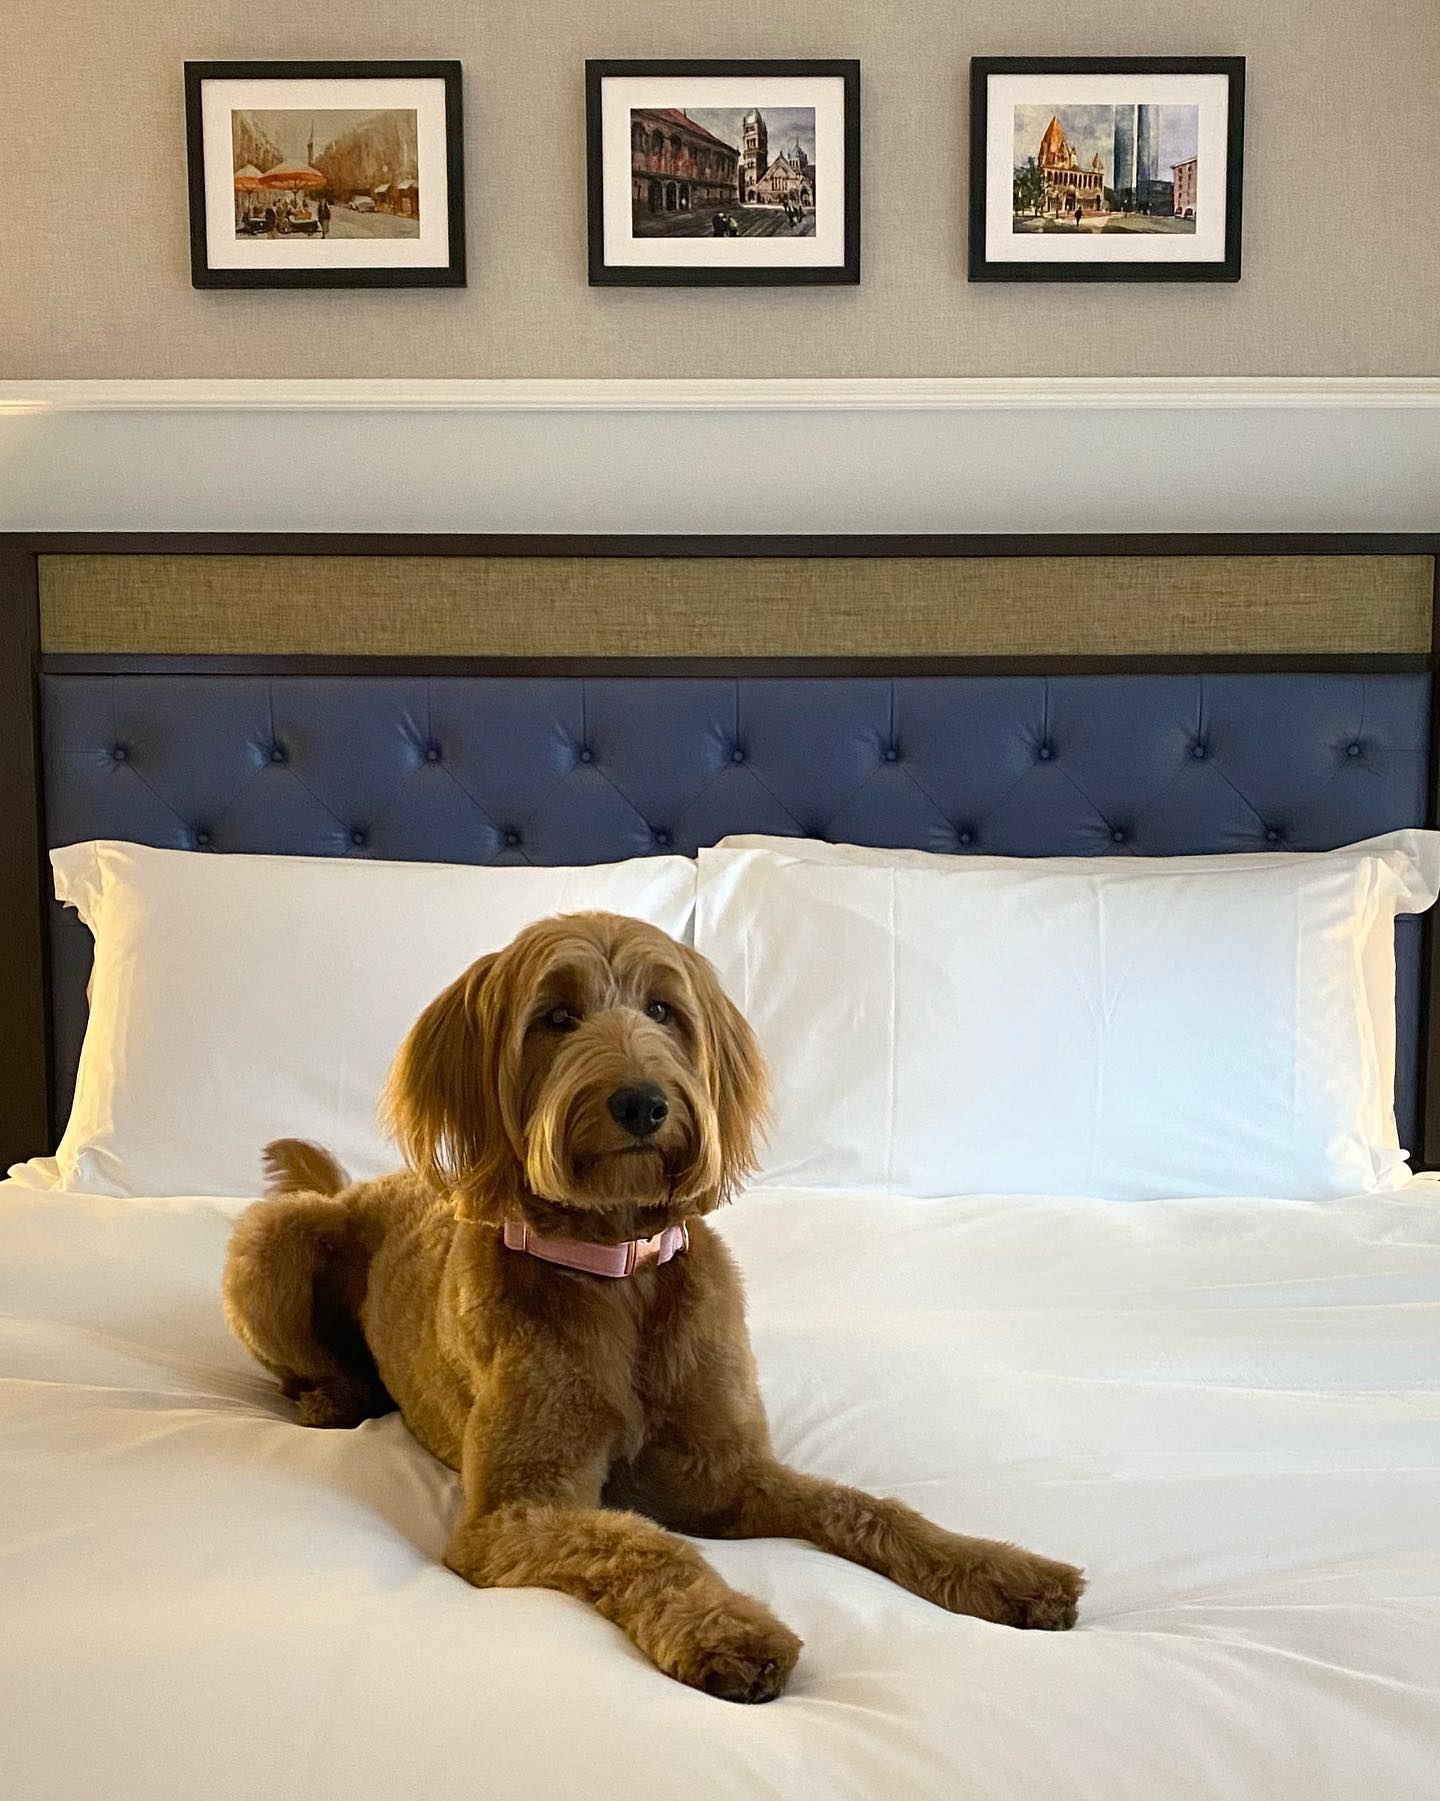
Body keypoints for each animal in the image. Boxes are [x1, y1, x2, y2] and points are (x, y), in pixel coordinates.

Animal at [223, 911, 1083, 1701]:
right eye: (556, 1016)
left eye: (664, 1009)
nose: (641, 1103)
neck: (618, 1271)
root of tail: (355, 1187)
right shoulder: (514, 1512)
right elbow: (642, 1544)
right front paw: (727, 1626)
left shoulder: (722, 1473)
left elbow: (866, 1505)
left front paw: (998, 1565)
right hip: (273, 1238)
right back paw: (334, 1394)